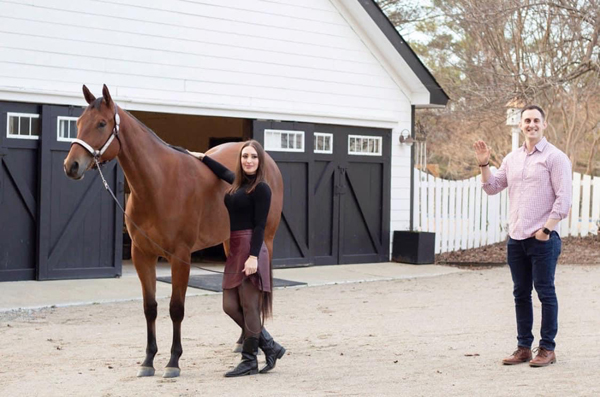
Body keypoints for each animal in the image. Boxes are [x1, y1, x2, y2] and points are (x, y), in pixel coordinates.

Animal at [63, 84, 284, 378]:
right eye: (78, 122)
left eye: (101, 123)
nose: (71, 165)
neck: (159, 184)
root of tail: (267, 160)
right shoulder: (142, 255)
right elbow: (150, 308)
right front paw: (148, 361)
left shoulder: (180, 257)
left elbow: (176, 308)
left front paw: (173, 362)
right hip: (230, 243)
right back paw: (243, 342)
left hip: (265, 242)